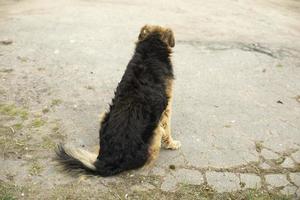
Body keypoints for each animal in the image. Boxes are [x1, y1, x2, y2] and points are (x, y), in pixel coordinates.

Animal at [55, 25, 180, 177]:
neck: (149, 53)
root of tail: (106, 161)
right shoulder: (166, 108)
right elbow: (168, 130)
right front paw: (172, 144)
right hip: (155, 130)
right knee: (146, 163)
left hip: (104, 116)